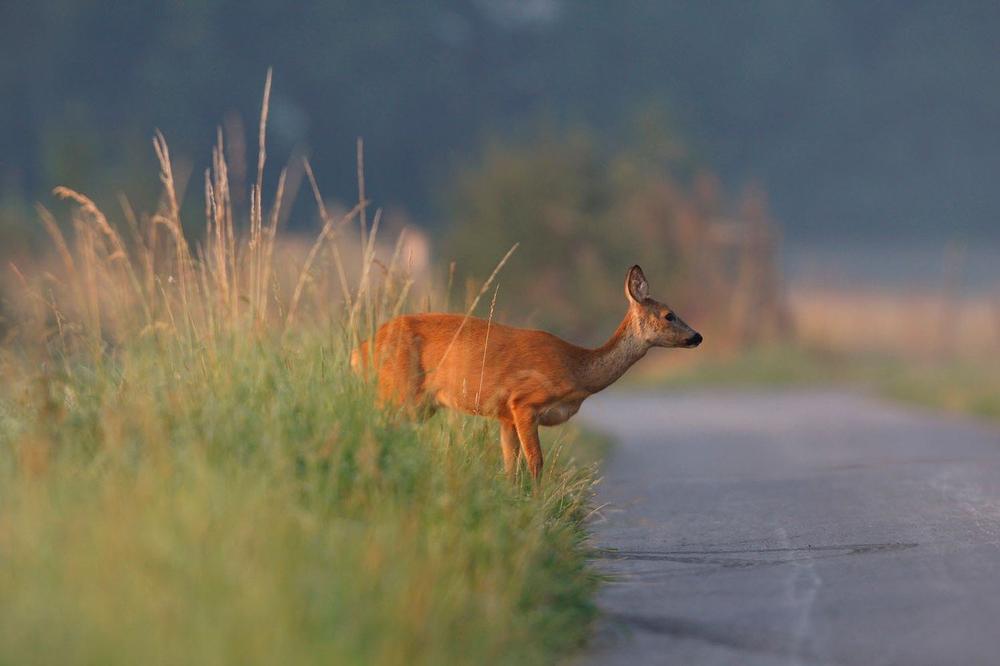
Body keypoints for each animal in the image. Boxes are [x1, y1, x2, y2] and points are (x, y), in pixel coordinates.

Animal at [352, 264, 704, 482]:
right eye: (669, 315)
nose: (697, 336)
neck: (577, 368)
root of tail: (361, 351)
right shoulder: (524, 402)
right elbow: (535, 464)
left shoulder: (504, 415)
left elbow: (511, 466)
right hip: (398, 392)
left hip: (417, 403)